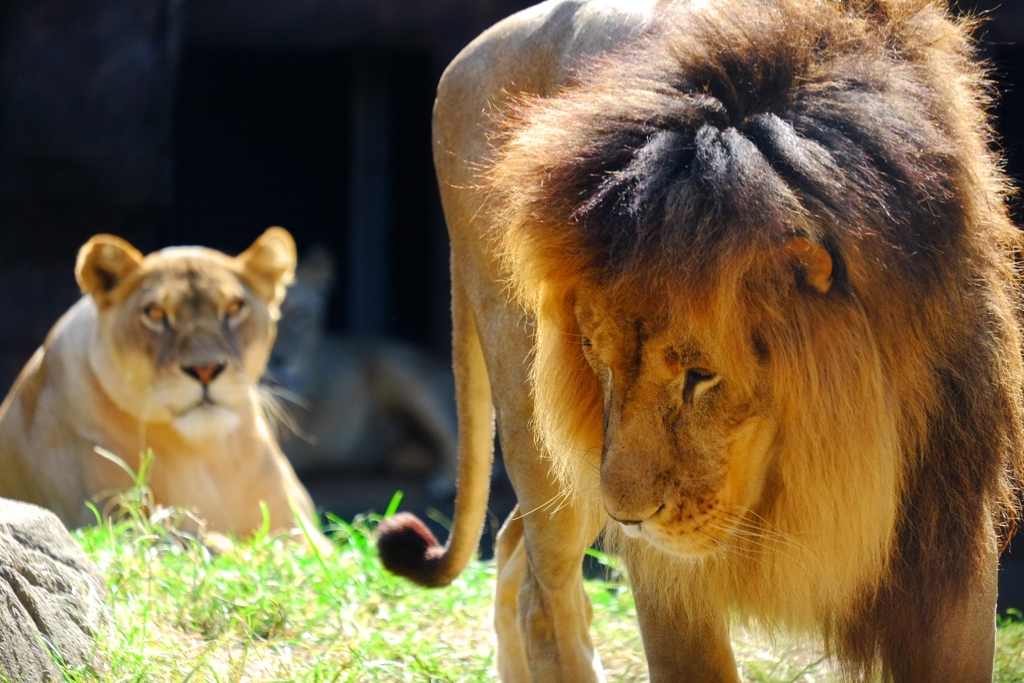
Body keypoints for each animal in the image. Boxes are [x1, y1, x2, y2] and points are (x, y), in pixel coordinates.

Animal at [0, 229, 329, 557]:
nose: (205, 369)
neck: (204, 452)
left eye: (235, 308)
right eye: (155, 313)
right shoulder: (103, 517)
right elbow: (176, 535)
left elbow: (309, 549)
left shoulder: (302, 526)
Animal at [380, 0, 1024, 679]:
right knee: (542, 592)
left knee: (512, 550)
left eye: (700, 377)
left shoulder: (951, 531)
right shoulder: (664, 568)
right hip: (541, 430)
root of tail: (465, 57)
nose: (629, 518)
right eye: (599, 363)